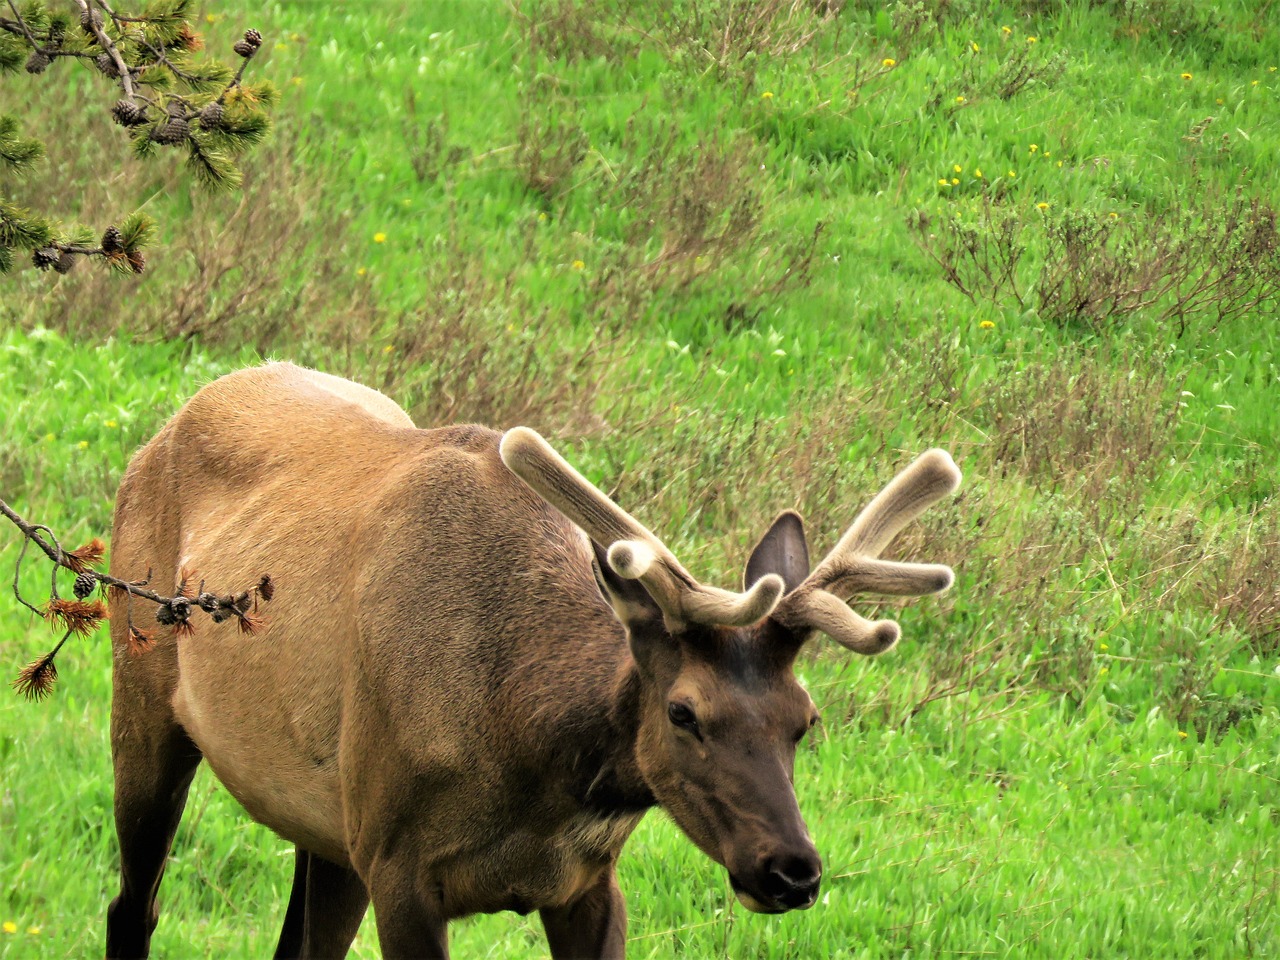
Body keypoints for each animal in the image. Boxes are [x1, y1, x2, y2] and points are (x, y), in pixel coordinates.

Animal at [107, 363, 962, 960]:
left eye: (805, 720)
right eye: (683, 712)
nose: (791, 870)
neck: (530, 754)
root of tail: (168, 424)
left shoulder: (587, 881)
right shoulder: (399, 864)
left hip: (329, 823)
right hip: (143, 697)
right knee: (132, 905)